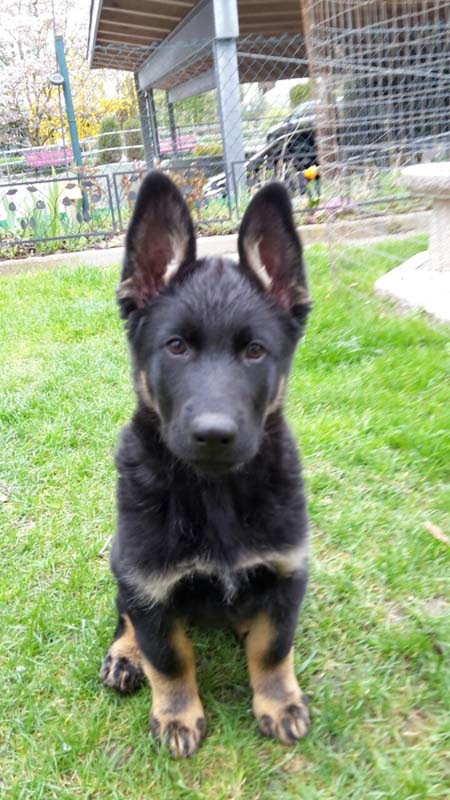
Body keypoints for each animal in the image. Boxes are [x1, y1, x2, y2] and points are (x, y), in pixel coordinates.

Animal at [100, 171, 312, 758]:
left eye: (255, 352)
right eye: (176, 346)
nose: (214, 435)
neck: (215, 492)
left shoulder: (287, 573)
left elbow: (273, 648)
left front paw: (279, 703)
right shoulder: (148, 582)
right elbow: (168, 656)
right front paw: (176, 715)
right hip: (121, 562)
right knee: (124, 615)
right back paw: (124, 655)